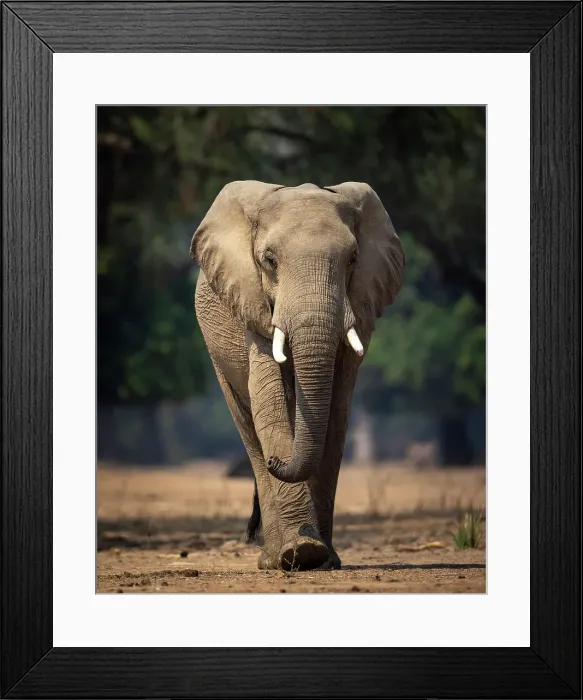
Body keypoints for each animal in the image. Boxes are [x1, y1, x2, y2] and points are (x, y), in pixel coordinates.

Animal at [191, 181, 405, 571]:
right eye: (270, 260)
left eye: (353, 259)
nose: (280, 460)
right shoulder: (253, 305)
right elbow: (268, 400)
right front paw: (301, 552)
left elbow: (337, 412)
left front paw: (322, 558)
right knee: (248, 425)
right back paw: (274, 558)